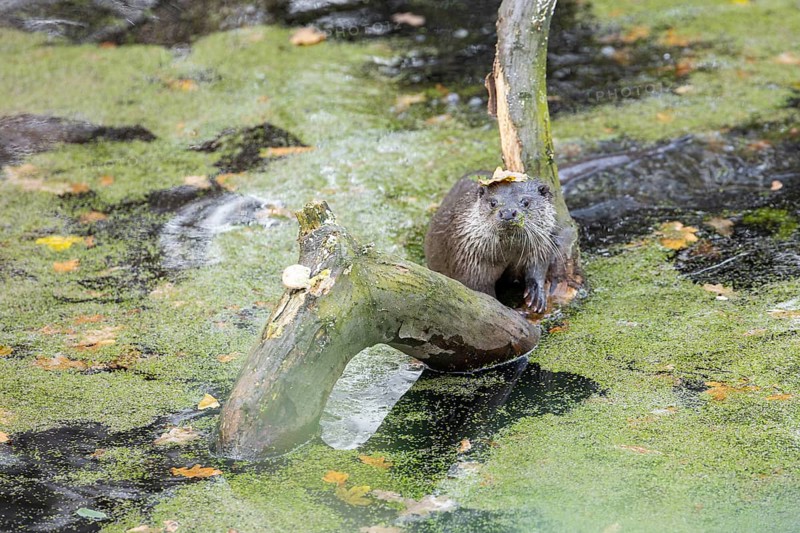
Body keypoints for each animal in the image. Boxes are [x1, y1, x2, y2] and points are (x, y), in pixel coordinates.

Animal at [425, 171, 561, 313]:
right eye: (493, 203)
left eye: (526, 202)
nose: (507, 212)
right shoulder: (469, 262)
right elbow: (482, 293)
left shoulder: (540, 246)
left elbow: (538, 266)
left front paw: (536, 293)